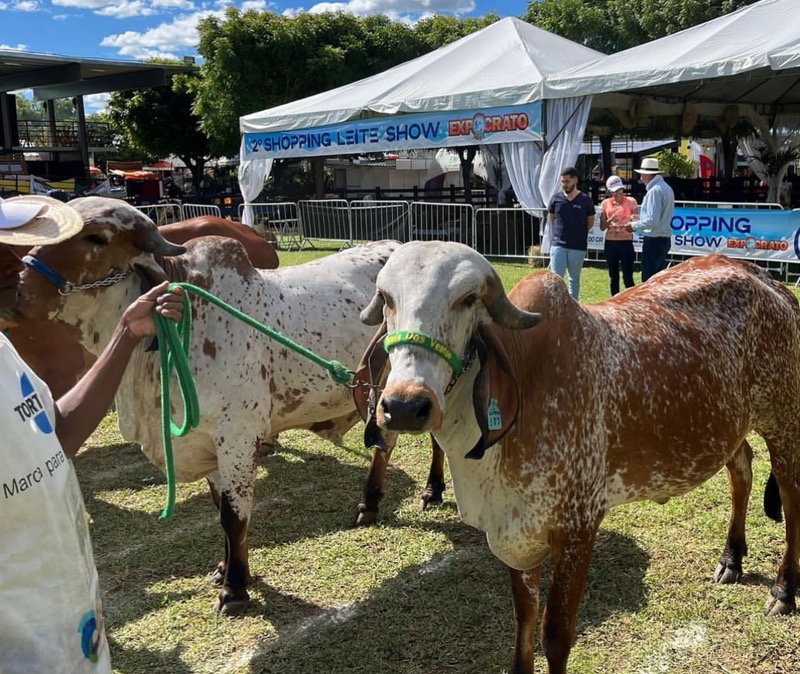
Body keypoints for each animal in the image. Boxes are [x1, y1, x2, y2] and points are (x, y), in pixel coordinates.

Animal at [17, 196, 406, 616]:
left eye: (96, 237)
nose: (21, 287)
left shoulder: (237, 438)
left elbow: (234, 516)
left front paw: (234, 590)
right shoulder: (208, 443)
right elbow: (221, 512)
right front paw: (228, 570)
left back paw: (382, 501)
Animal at [362, 240, 800, 672]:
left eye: (468, 299)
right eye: (386, 299)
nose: (404, 406)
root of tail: (764, 278)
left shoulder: (578, 526)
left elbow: (555, 635)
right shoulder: (515, 531)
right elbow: (524, 618)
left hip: (782, 419)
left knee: (790, 497)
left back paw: (784, 589)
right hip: (729, 425)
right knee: (742, 471)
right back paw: (732, 559)